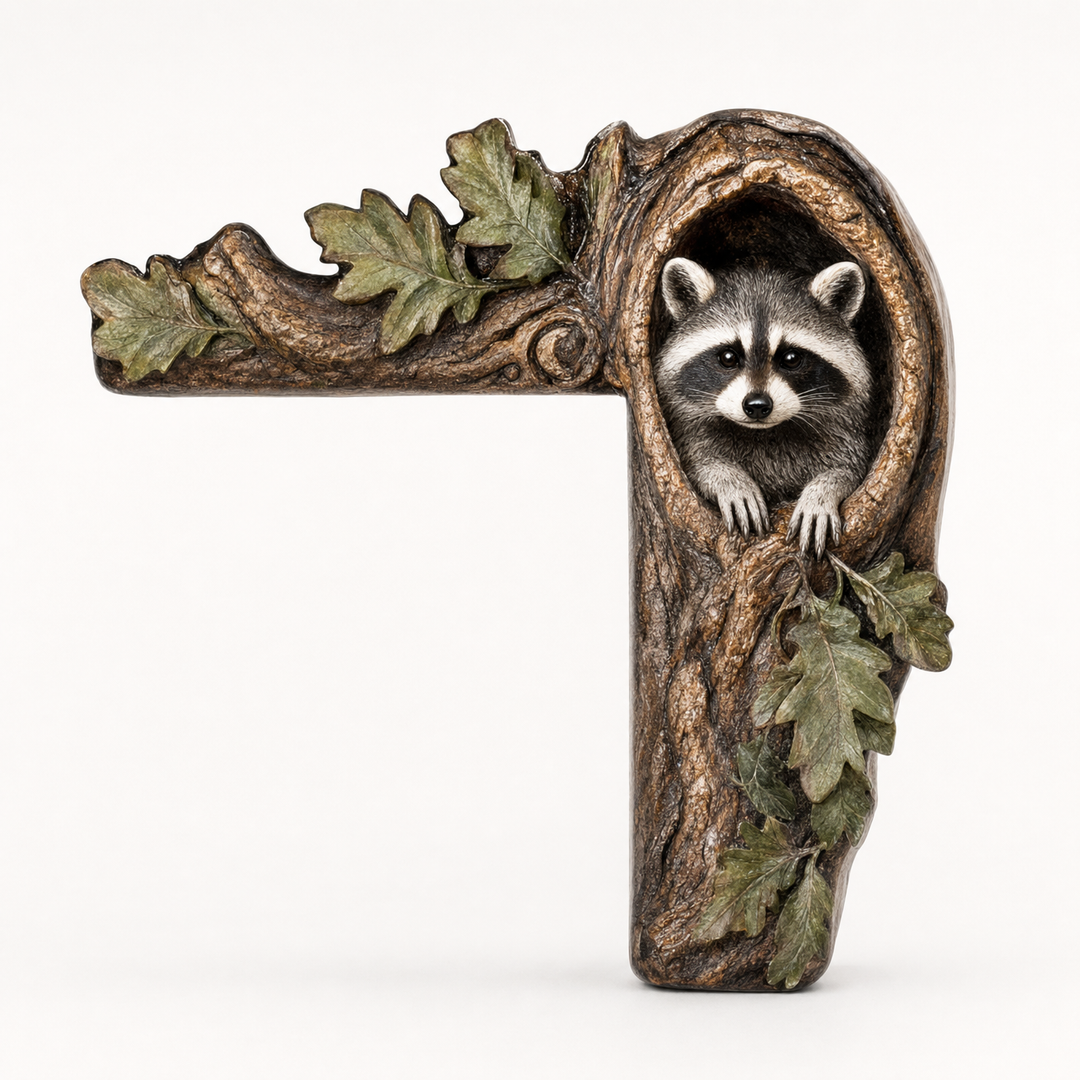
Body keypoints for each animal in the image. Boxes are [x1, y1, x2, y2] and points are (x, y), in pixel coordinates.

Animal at [654, 257, 873, 557]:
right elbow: (697, 462)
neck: (765, 433)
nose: (757, 406)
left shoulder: (842, 430)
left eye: (791, 358)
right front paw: (728, 479)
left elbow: (850, 470)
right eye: (728, 357)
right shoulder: (689, 430)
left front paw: (823, 491)